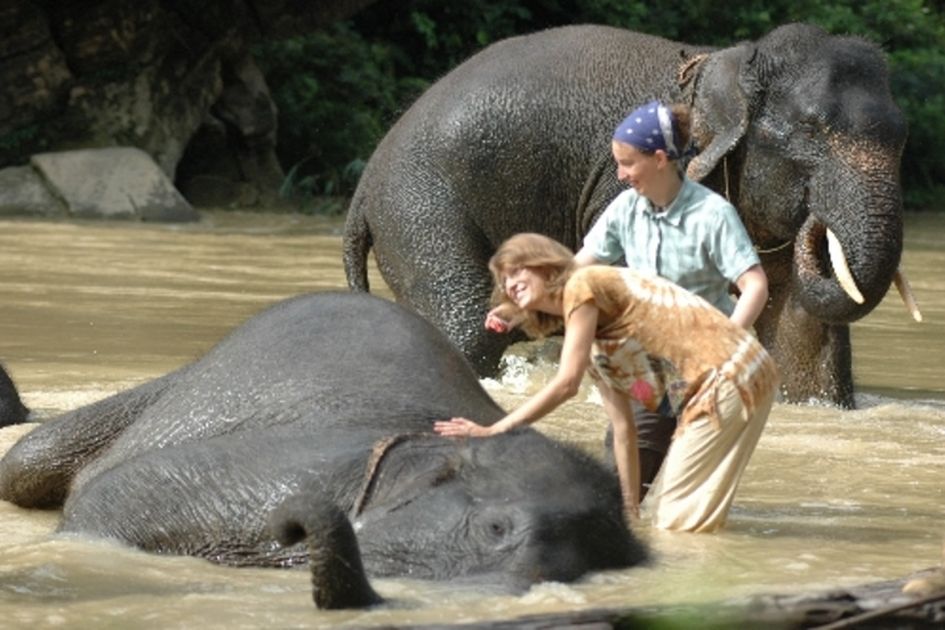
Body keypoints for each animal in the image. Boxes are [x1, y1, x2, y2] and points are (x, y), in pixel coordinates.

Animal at [346, 22, 916, 408]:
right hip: (419, 210)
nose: (819, 222)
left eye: (903, 137)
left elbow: (803, 326)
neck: (725, 67)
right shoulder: (632, 184)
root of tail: (364, 186)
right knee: (467, 328)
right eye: (810, 130)